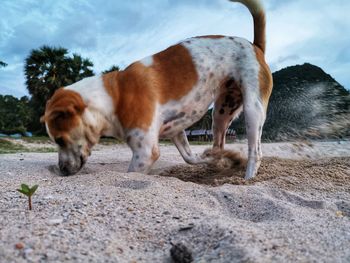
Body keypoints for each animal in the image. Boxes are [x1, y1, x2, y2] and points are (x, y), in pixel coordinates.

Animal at [41, 0, 272, 179]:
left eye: (60, 140)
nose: (60, 170)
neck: (113, 96)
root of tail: (255, 46)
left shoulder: (144, 152)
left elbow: (131, 174)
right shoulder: (176, 131)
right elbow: (191, 158)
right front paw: (219, 160)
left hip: (252, 110)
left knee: (256, 151)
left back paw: (248, 178)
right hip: (221, 113)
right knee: (219, 144)